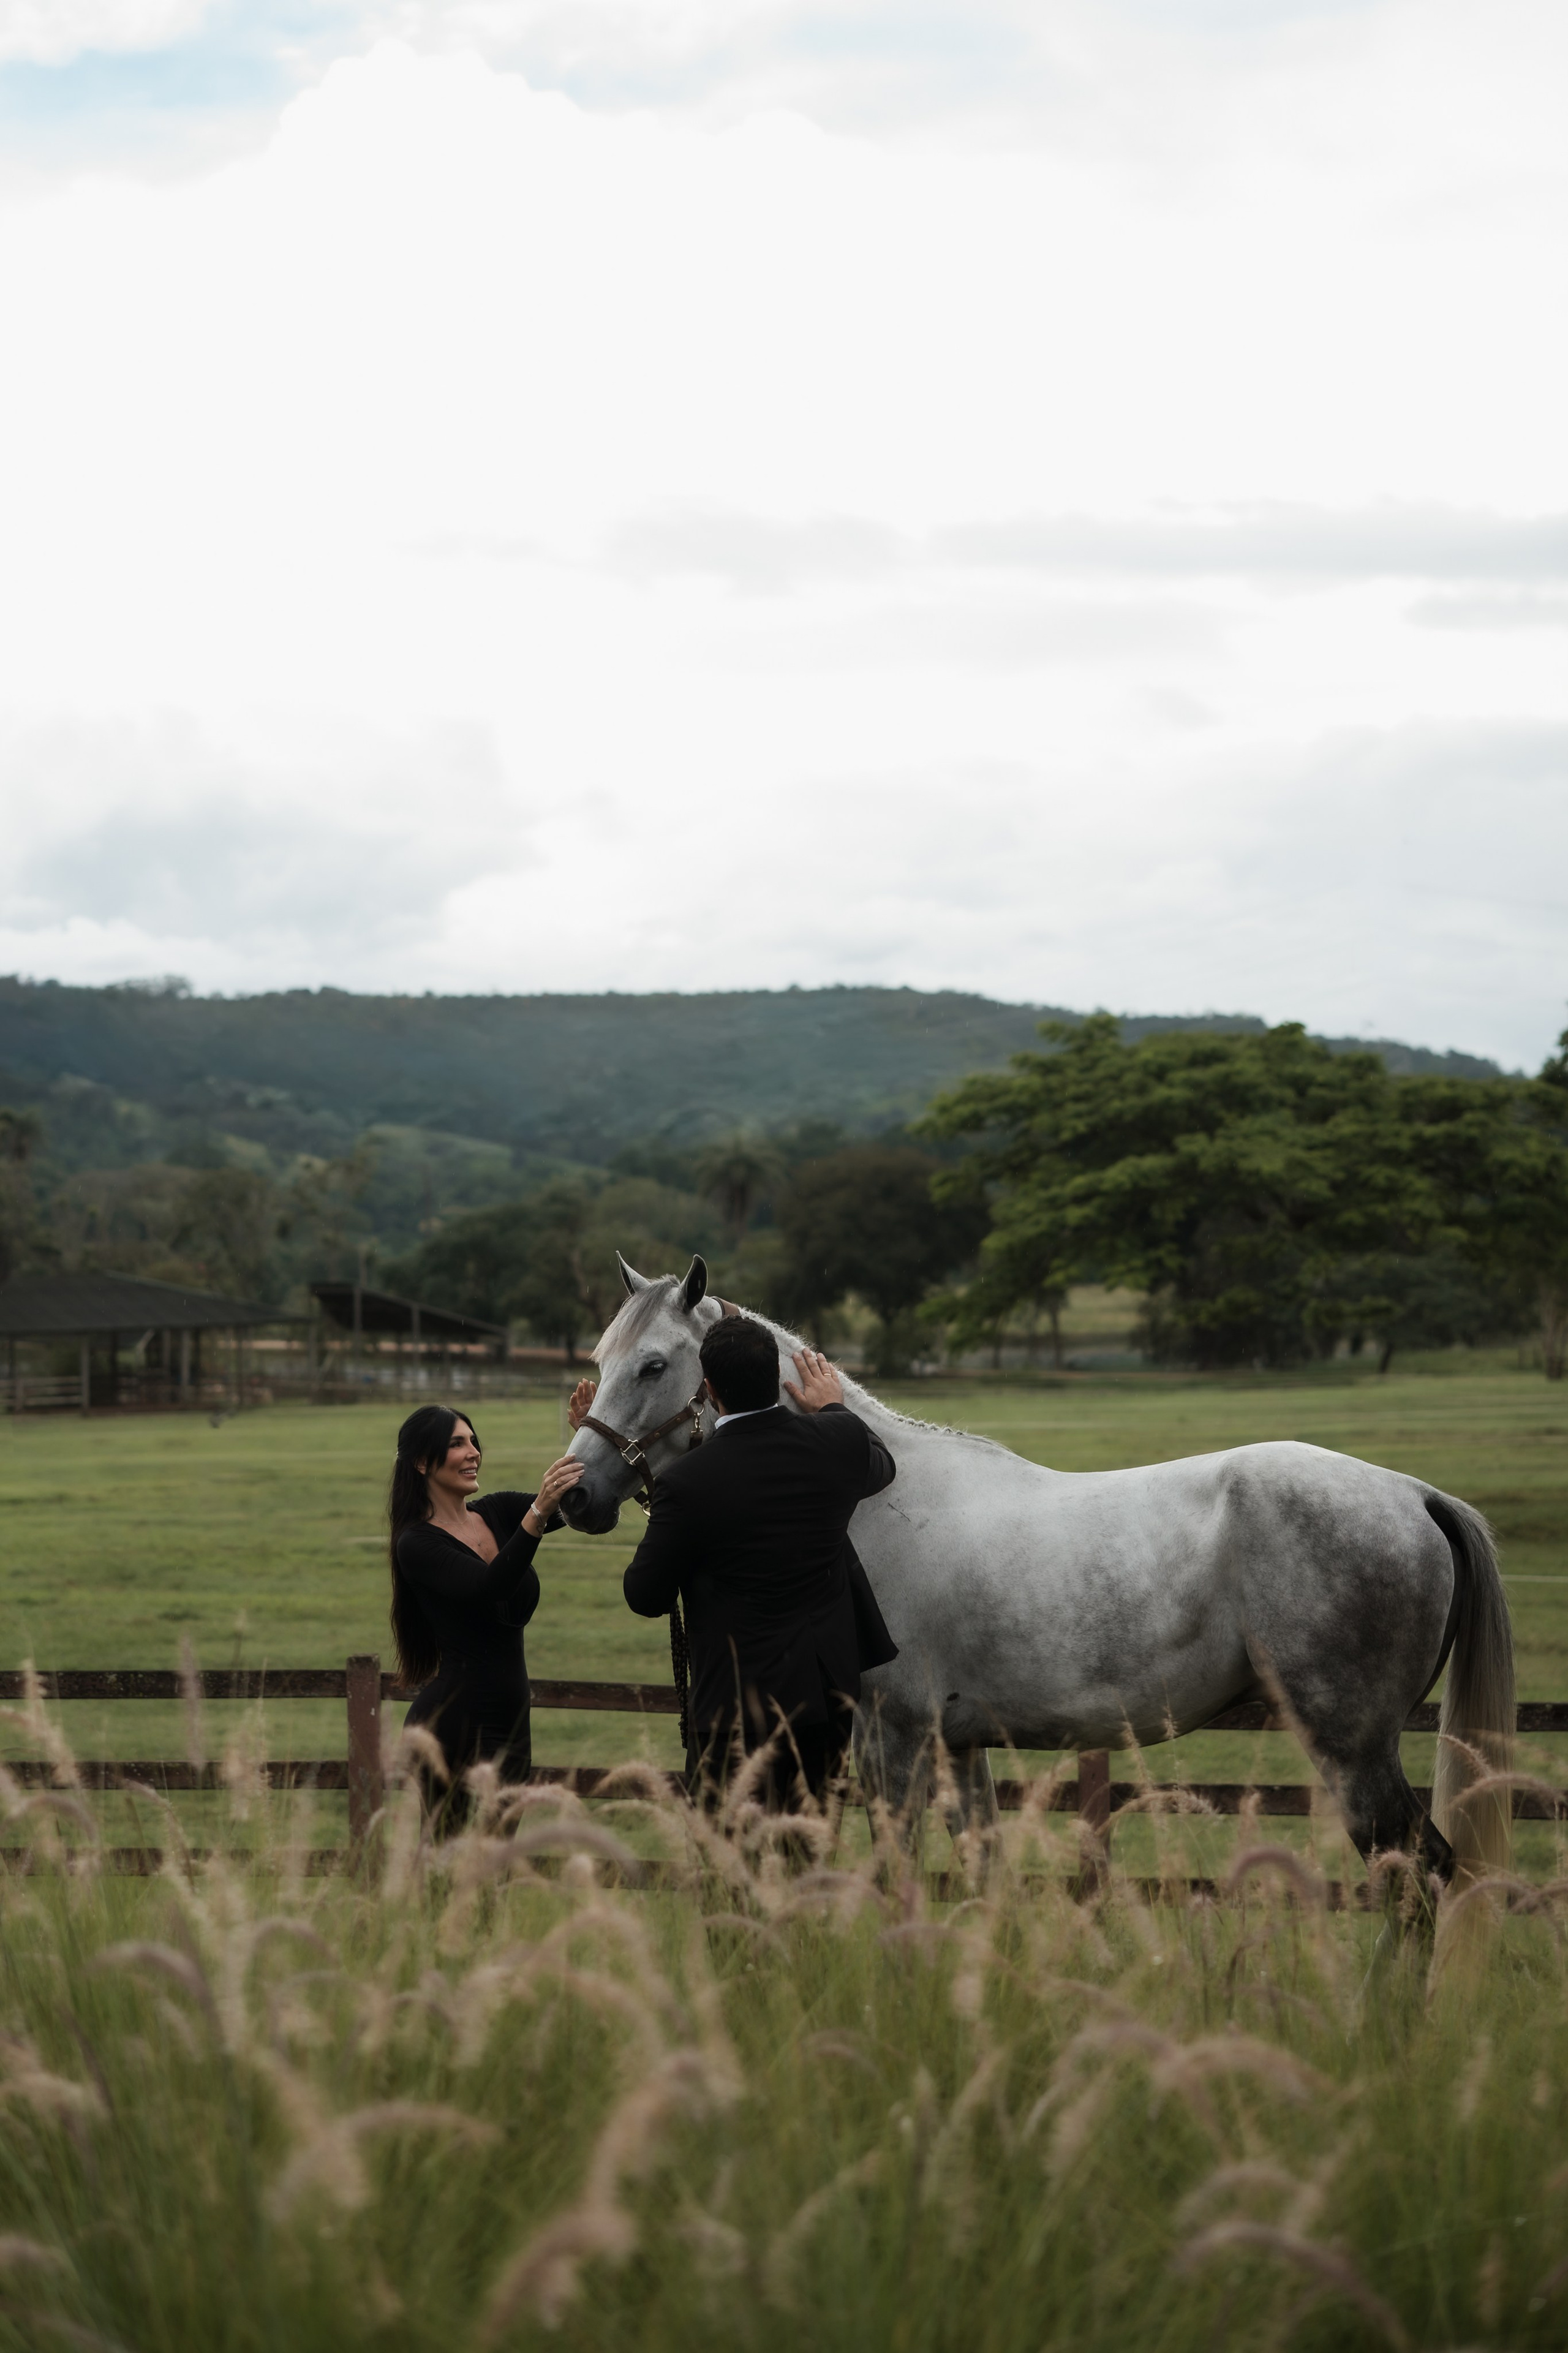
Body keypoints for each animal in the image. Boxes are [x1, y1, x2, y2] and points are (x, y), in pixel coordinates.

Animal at [559, 1254, 1514, 1883]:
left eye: (653, 1364)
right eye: (597, 1361)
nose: (574, 1494)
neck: (874, 1495)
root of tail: (1418, 1495)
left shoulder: (894, 1740)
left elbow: (897, 1873)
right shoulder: (960, 1747)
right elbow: (982, 1871)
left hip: (1351, 1750)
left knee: (1417, 1874)